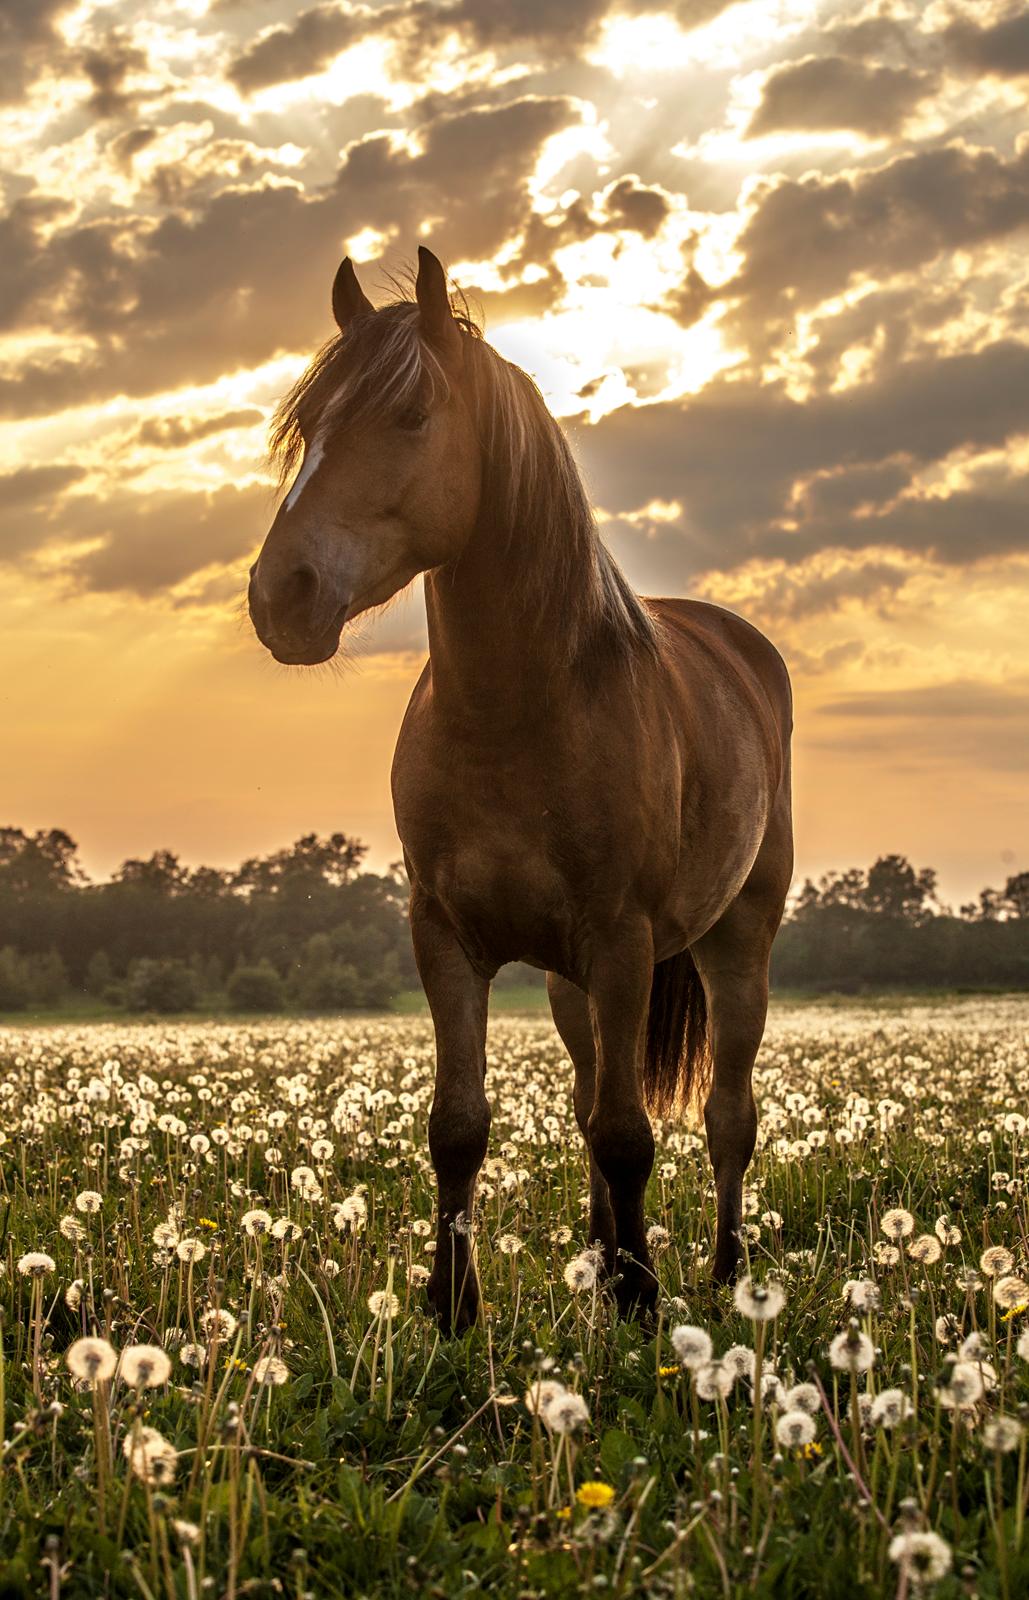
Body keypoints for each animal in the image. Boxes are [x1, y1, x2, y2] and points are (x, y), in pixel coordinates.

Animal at [251, 246, 796, 1324]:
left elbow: (629, 1133)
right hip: (568, 982)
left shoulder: (623, 940)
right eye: (307, 425)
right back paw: (598, 1256)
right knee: (593, 1102)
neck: (514, 713)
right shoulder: (445, 937)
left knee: (726, 1115)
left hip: (734, 940)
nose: (279, 595)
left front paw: (641, 1301)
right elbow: (461, 1124)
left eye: (412, 414)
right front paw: (452, 1304)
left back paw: (724, 1273)